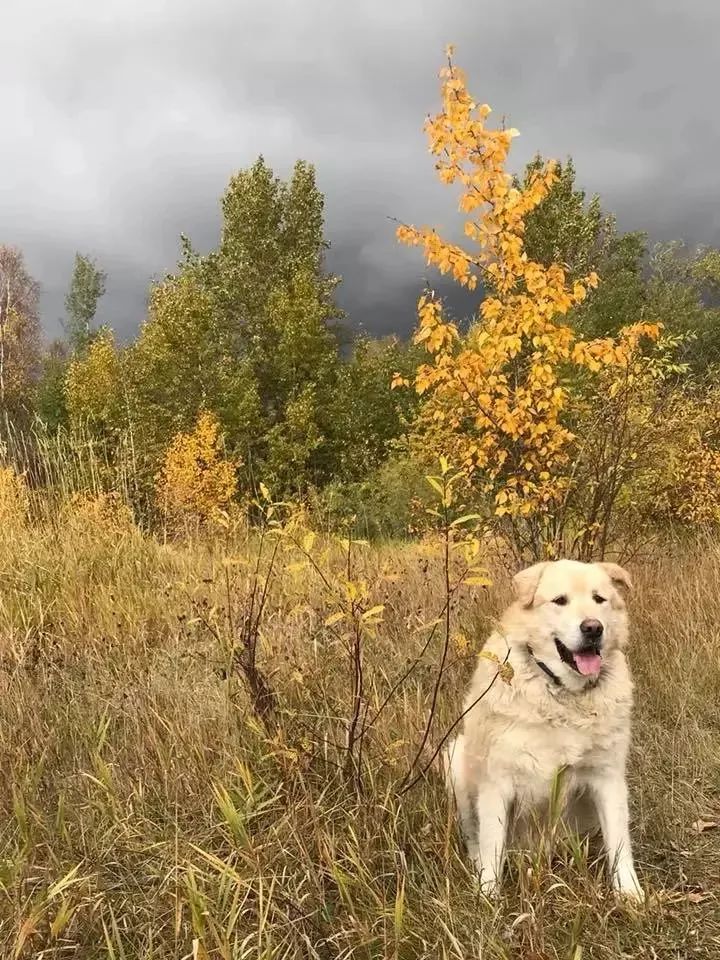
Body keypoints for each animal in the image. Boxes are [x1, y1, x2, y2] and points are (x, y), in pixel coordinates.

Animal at [448, 556, 644, 900]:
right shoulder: (497, 783)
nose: (593, 628)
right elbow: (491, 845)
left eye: (599, 599)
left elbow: (620, 843)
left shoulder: (607, 777)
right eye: (559, 600)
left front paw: (629, 893)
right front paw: (488, 897)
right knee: (473, 836)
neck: (562, 695)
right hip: (455, 758)